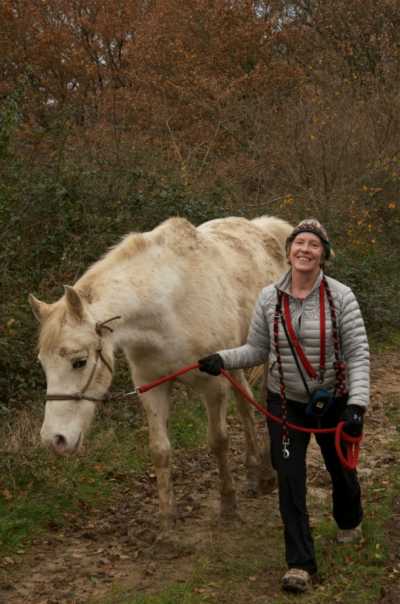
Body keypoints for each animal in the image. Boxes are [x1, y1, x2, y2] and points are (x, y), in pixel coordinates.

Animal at [28, 215, 290, 532]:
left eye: (79, 361)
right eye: (43, 364)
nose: (54, 440)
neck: (168, 308)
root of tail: (262, 228)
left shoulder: (212, 386)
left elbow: (218, 441)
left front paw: (228, 505)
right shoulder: (151, 386)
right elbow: (160, 450)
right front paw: (167, 520)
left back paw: (266, 473)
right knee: (244, 404)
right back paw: (255, 471)